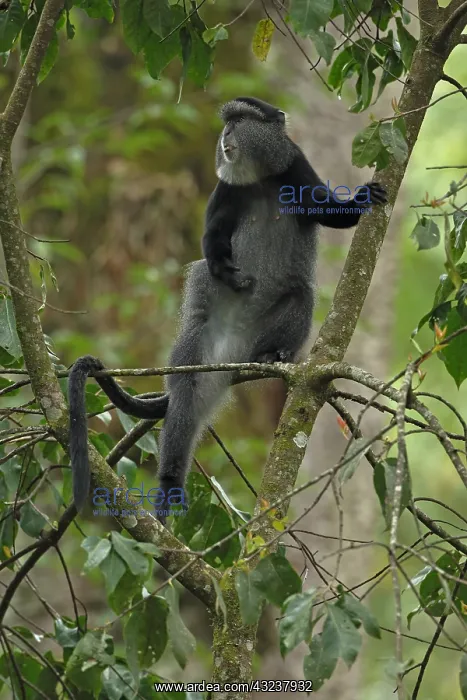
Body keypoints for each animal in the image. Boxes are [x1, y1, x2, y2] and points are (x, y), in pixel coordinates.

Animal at [68, 96, 387, 521]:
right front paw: (225, 272)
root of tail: (233, 347)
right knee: (186, 396)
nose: (225, 135)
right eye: (229, 120)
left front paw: (361, 200)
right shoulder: (225, 191)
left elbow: (329, 214)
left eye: (241, 119)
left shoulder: (295, 166)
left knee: (301, 297)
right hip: (198, 346)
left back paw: (274, 354)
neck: (260, 178)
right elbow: (212, 240)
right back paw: (170, 482)